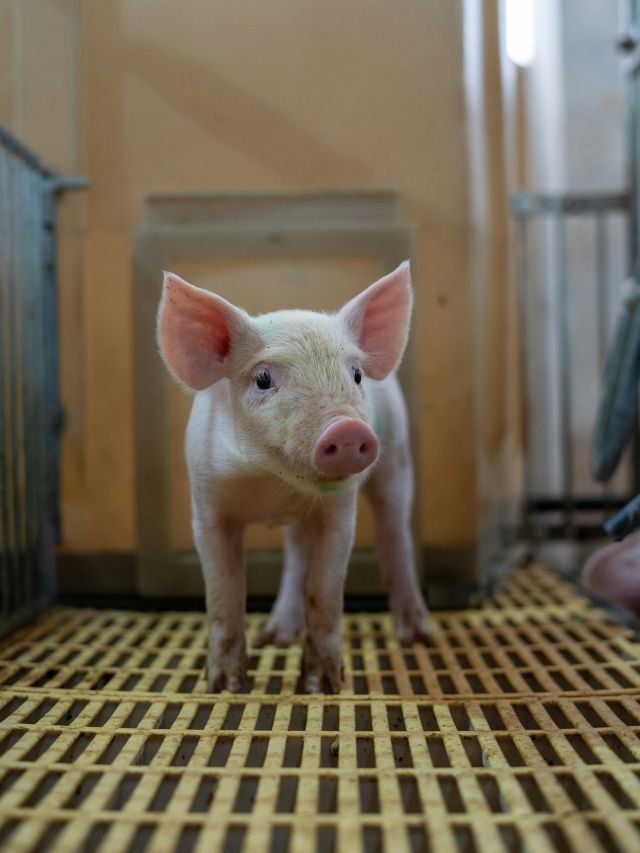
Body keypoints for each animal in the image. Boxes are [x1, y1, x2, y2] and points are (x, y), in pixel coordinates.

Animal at [157, 261, 431, 693]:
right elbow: (224, 592)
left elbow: (324, 590)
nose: (347, 429)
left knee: (394, 536)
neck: (271, 485)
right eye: (263, 379)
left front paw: (322, 687)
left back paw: (418, 639)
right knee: (298, 552)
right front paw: (225, 687)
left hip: (399, 459)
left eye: (356, 374)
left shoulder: (339, 511)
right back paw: (274, 638)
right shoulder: (206, 506)